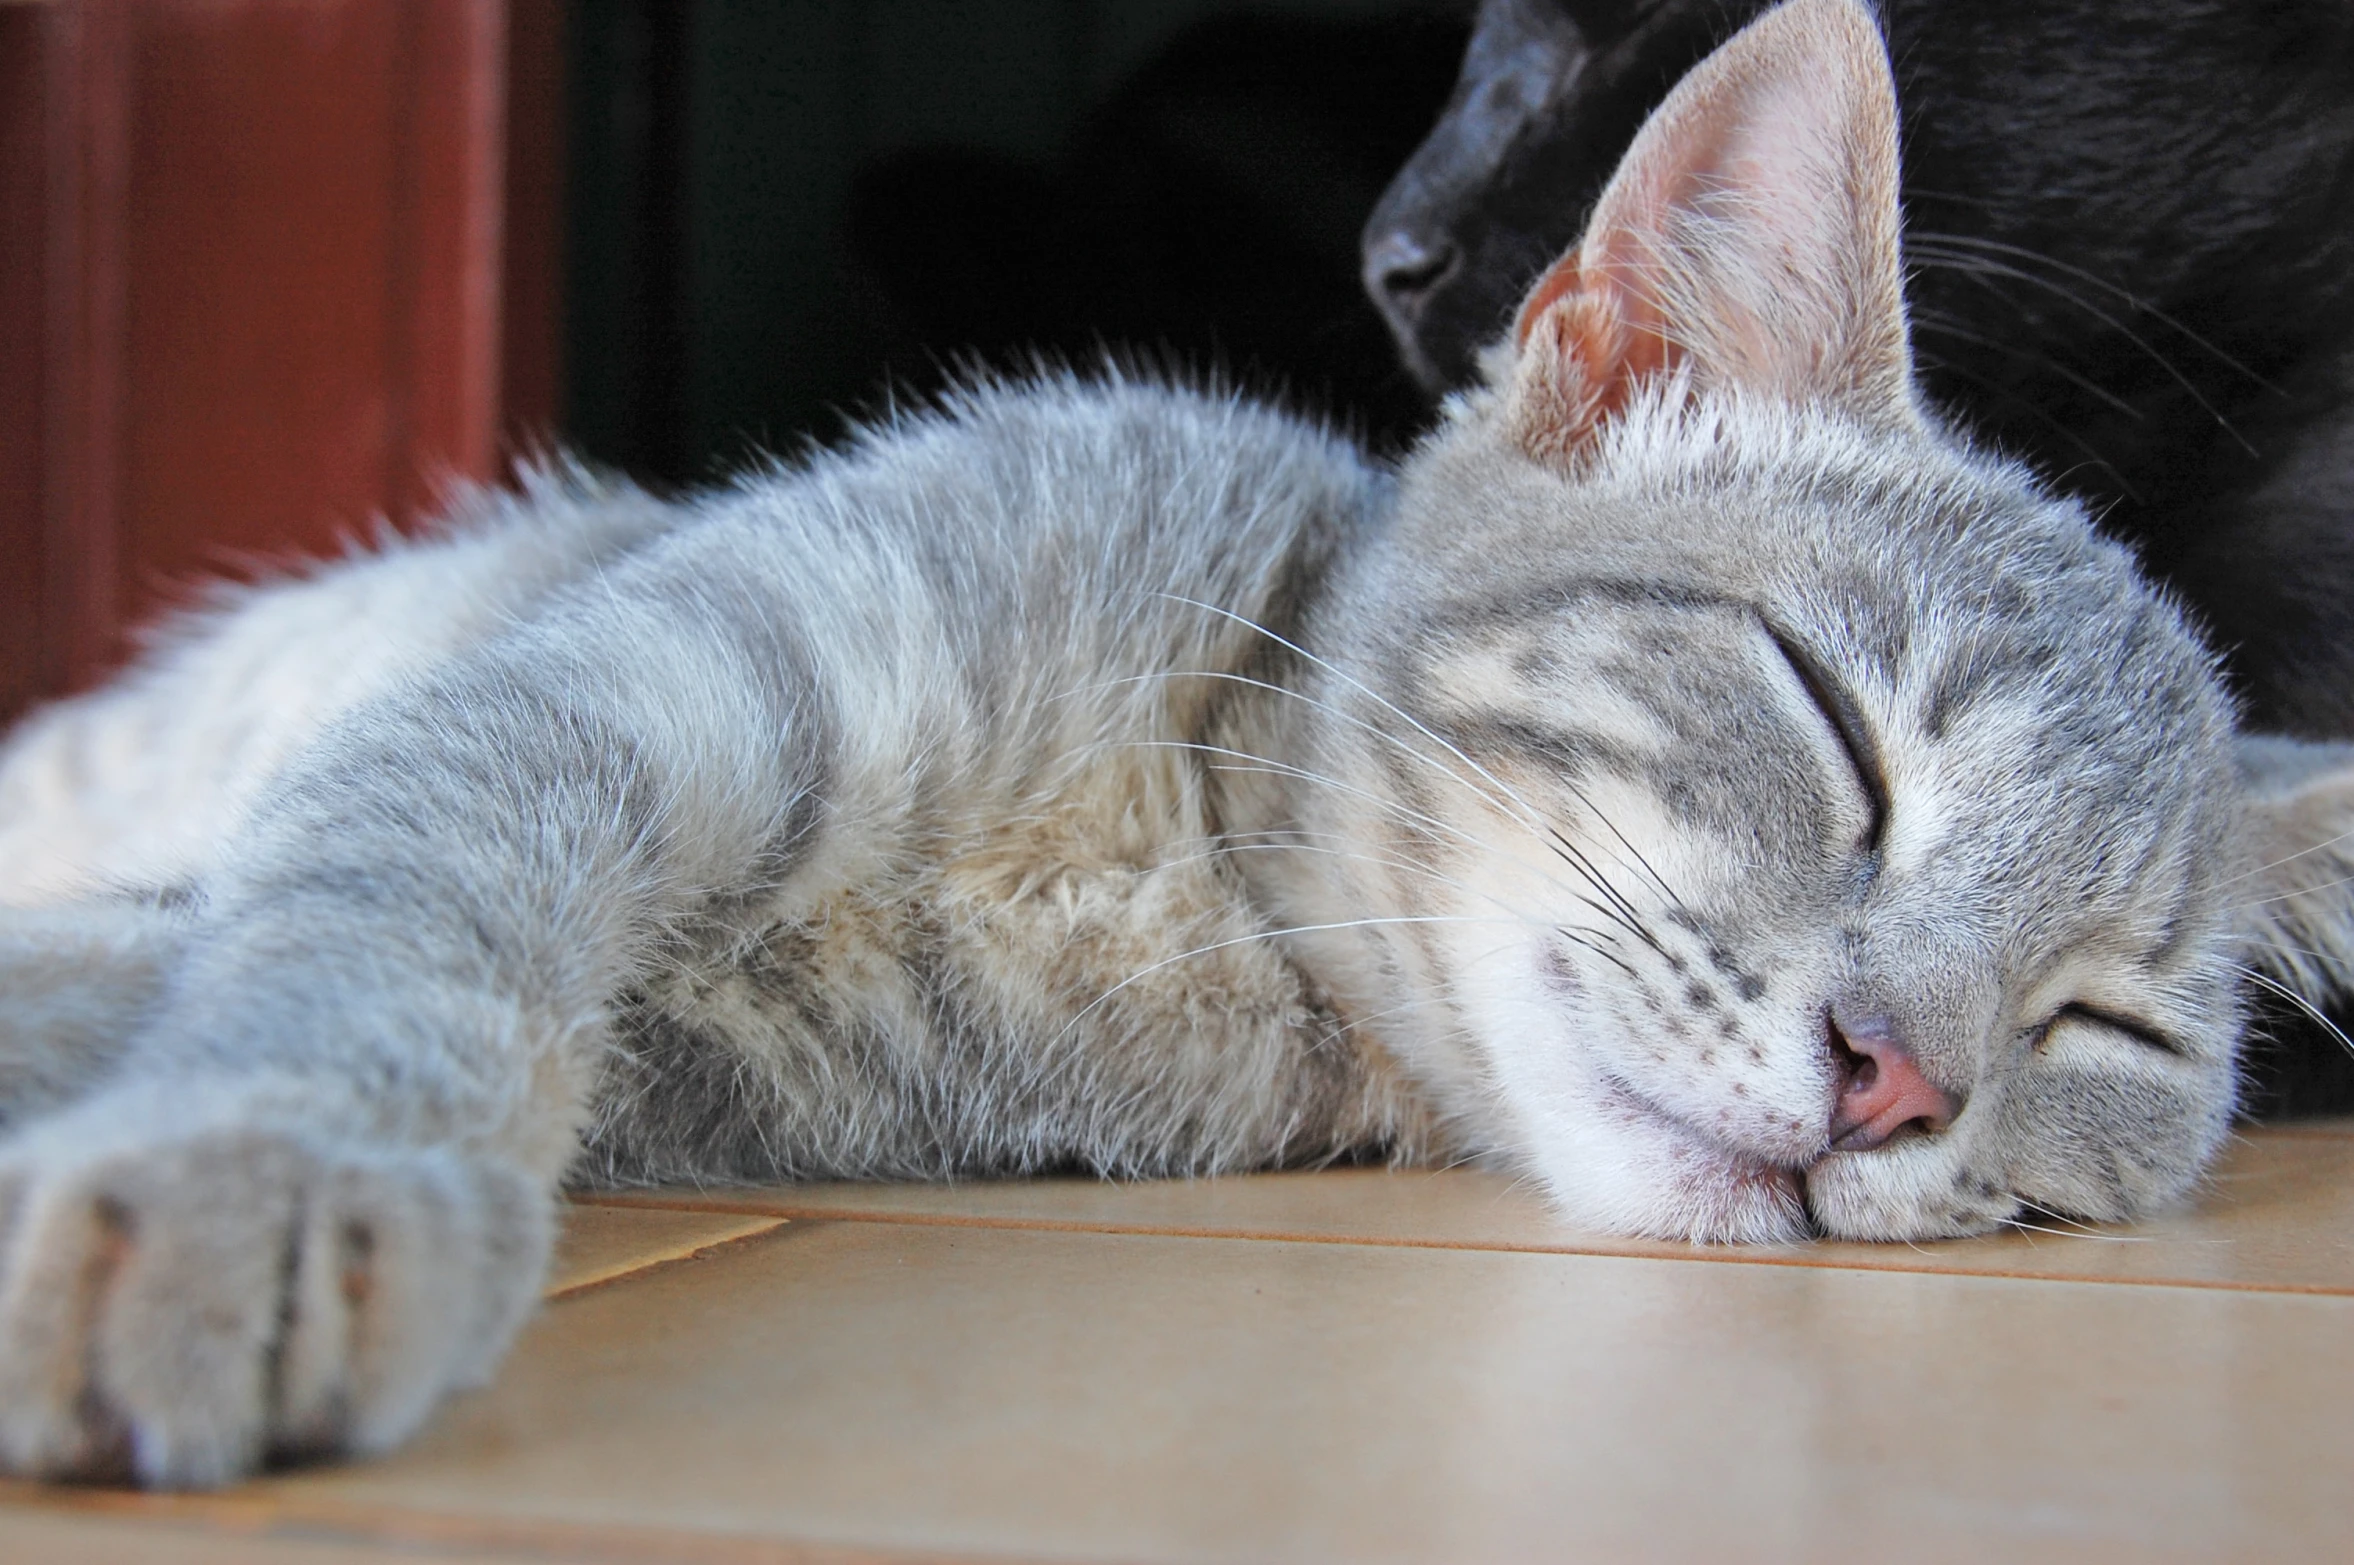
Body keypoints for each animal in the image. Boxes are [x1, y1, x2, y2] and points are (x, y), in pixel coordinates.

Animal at [4, 0, 2354, 1487]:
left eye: (2100, 1020)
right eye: (1835, 725)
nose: (1897, 1076)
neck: (1187, 851)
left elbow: (141, 960)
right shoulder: (604, 696)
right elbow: (396, 916)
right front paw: (261, 1173)